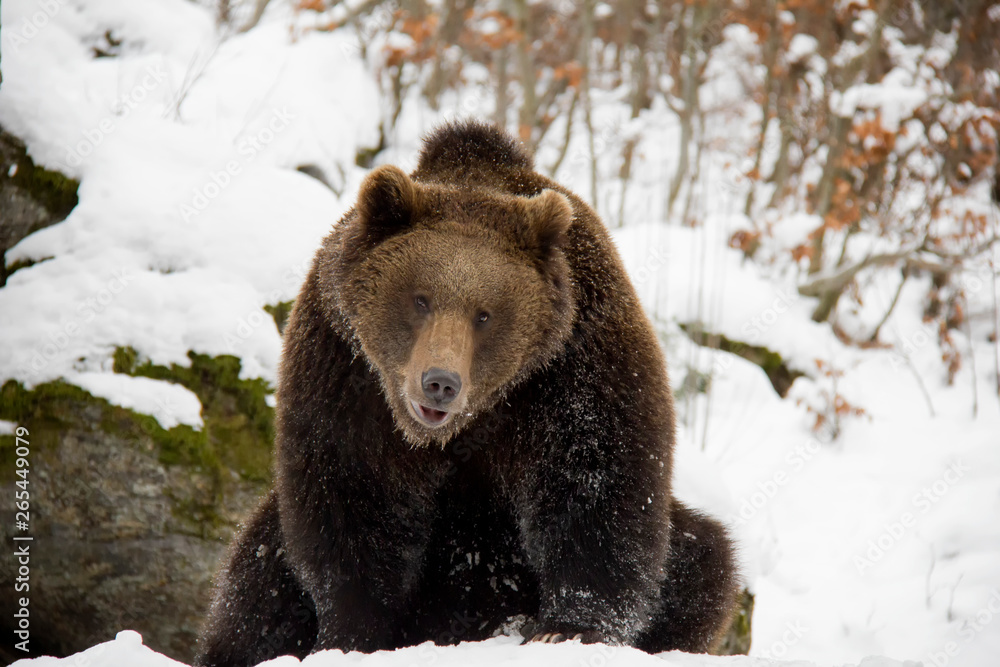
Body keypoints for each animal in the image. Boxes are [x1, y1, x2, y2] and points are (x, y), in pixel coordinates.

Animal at [197, 120, 739, 667]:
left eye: (484, 314)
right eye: (420, 299)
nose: (440, 381)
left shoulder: (574, 364)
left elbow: (598, 485)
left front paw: (565, 629)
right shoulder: (345, 370)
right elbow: (351, 498)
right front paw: (350, 635)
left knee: (705, 556)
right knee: (256, 572)